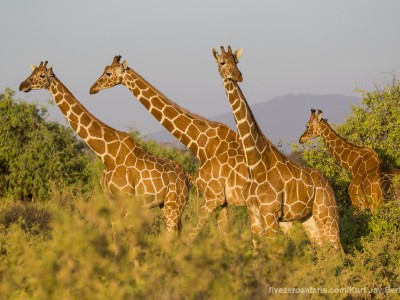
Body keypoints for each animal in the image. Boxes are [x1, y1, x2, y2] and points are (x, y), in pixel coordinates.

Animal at [19, 61, 191, 233]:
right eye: (31, 73)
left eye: (42, 75)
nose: (22, 85)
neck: (106, 154)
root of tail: (186, 176)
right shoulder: (111, 200)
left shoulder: (127, 199)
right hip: (166, 205)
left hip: (174, 205)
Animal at [214, 45, 342, 251]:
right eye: (222, 62)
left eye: (237, 61)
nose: (238, 76)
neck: (255, 164)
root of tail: (328, 183)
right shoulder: (254, 214)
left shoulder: (271, 214)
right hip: (309, 218)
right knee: (324, 248)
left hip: (326, 212)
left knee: (338, 249)